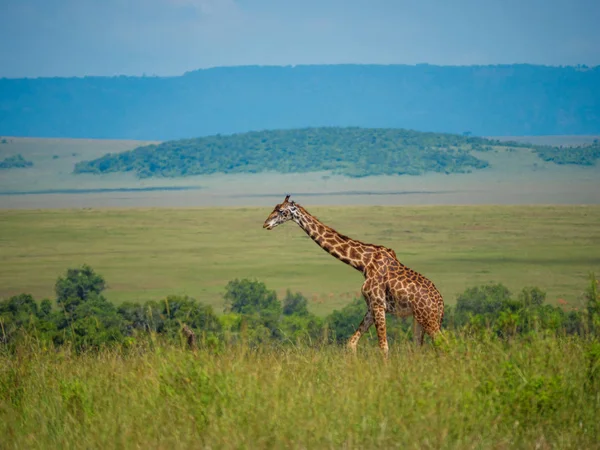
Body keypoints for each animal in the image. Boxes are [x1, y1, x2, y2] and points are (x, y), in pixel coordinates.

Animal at [264, 194, 446, 358]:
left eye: (281, 211)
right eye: (275, 207)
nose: (266, 224)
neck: (363, 263)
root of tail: (441, 304)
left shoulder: (379, 304)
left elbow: (383, 347)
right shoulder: (371, 306)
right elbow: (351, 344)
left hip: (428, 318)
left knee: (443, 343)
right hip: (419, 320)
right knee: (420, 347)